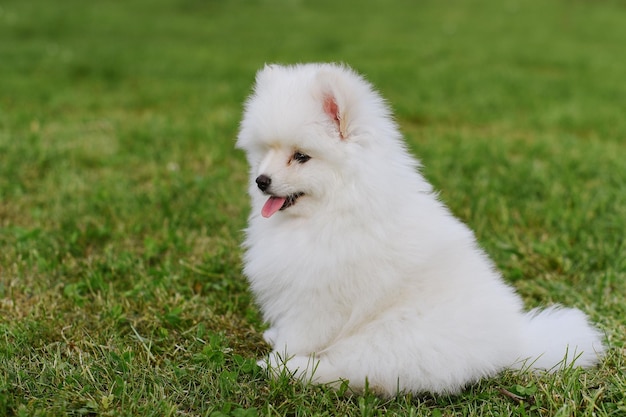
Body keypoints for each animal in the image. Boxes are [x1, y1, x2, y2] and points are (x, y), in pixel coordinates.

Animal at [234, 62, 600, 396]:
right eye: (266, 151)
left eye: (301, 157)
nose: (261, 181)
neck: (337, 206)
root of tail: (510, 344)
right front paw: (275, 338)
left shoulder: (318, 298)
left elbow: (300, 337)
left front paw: (280, 359)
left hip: (391, 338)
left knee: (353, 373)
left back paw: (291, 370)